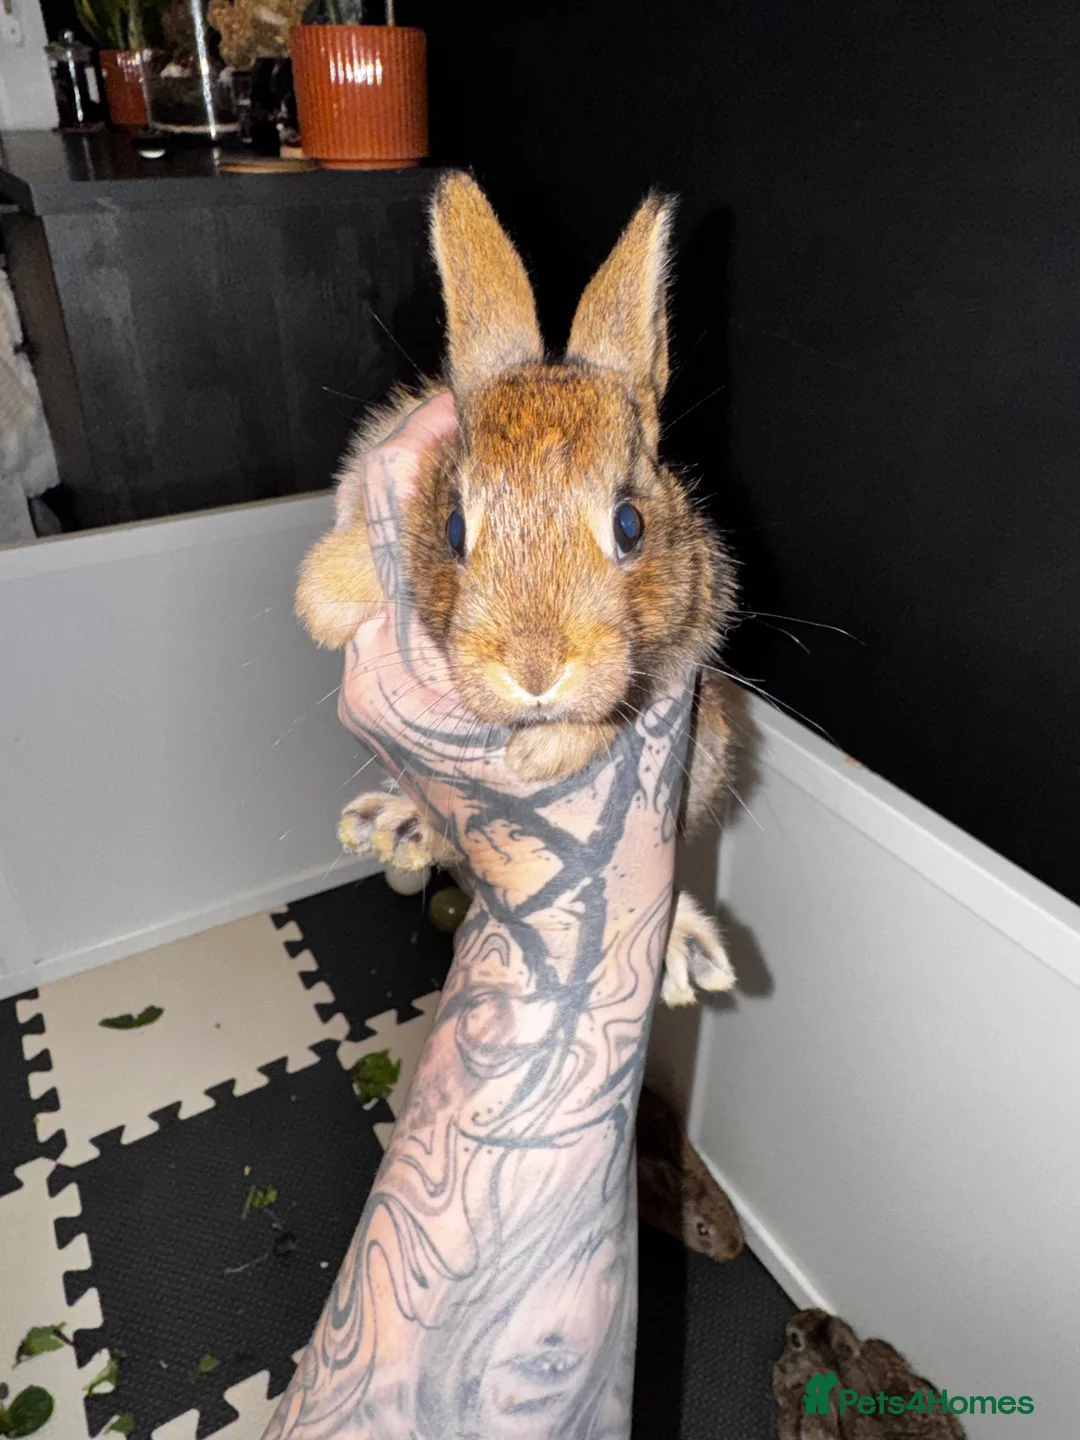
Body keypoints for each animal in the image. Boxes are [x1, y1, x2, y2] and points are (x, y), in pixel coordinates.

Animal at [295, 171, 738, 1006]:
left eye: (629, 524)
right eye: (454, 529)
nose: (535, 673)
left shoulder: (689, 636)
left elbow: (617, 708)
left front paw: (543, 755)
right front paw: (325, 593)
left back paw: (683, 954)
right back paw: (393, 824)